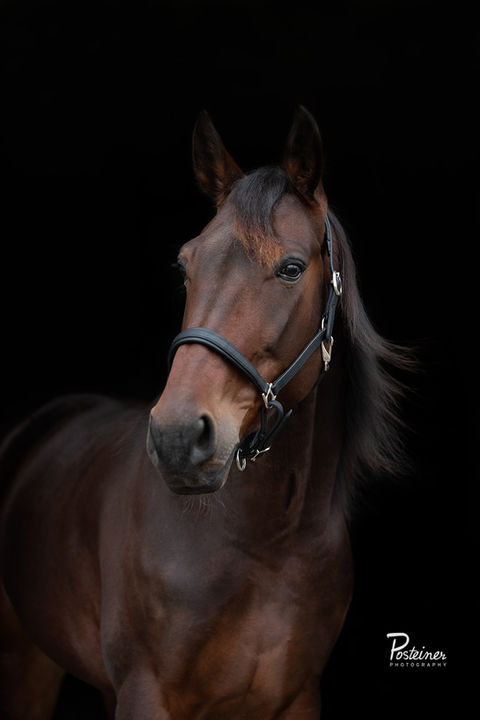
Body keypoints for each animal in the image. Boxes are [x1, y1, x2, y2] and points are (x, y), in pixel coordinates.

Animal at [0, 106, 408, 719]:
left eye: (291, 269)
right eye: (184, 266)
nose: (176, 438)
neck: (268, 544)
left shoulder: (298, 698)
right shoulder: (146, 694)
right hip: (26, 665)